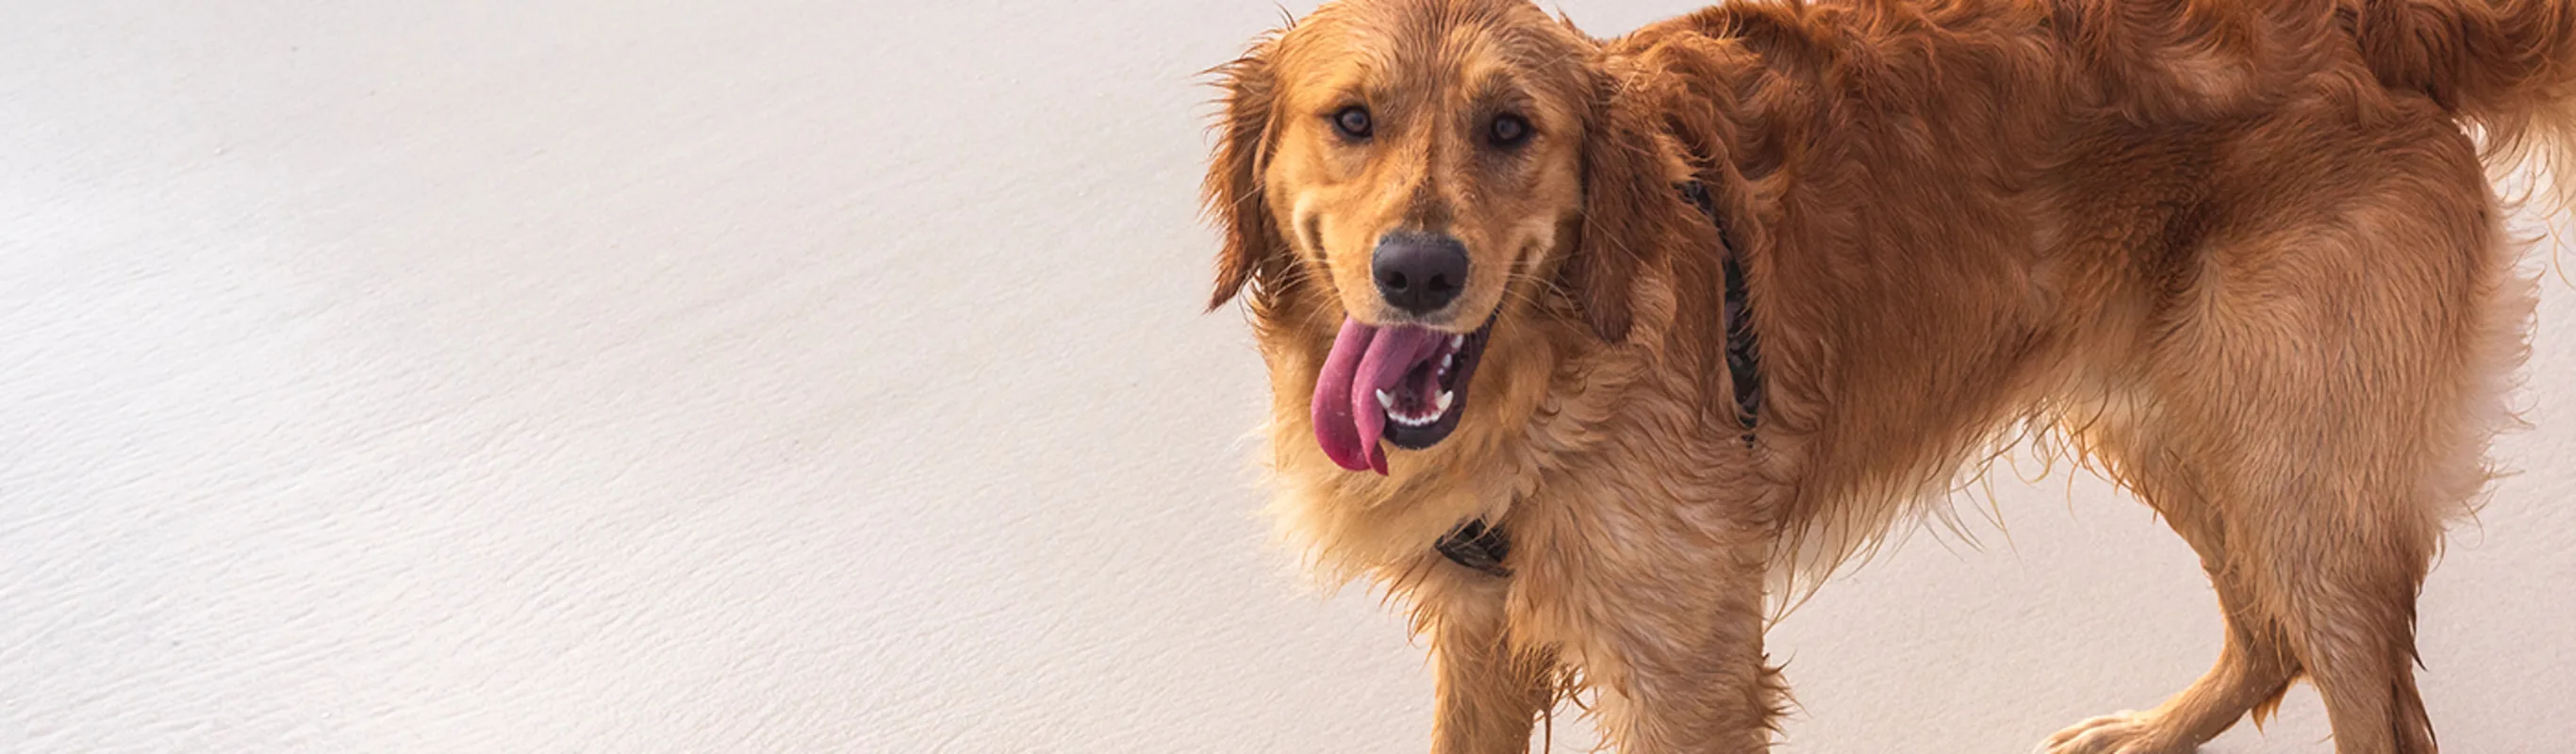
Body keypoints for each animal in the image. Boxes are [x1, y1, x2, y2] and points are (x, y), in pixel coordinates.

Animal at [1195, 3, 2566, 746]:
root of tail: (2364, 21)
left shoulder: (1685, 674)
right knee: (2268, 636)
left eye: (1507, 129)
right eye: (1352, 120)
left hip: (2302, 475)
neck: (1552, 371)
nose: (1418, 270)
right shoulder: (1483, 633)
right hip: (2171, 426)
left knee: (2358, 690)